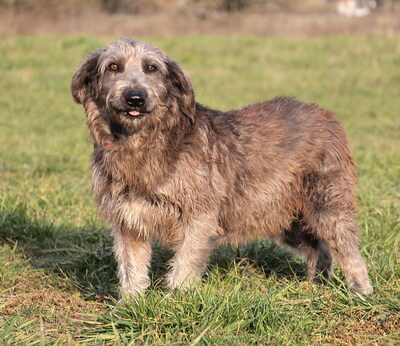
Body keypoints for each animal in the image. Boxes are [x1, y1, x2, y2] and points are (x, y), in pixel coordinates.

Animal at [71, 38, 372, 298]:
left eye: (151, 68)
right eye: (113, 66)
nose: (135, 97)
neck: (143, 143)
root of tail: (326, 115)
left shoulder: (198, 217)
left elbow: (185, 262)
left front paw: (176, 301)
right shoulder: (129, 221)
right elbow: (132, 267)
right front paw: (131, 305)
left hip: (326, 205)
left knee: (347, 248)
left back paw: (361, 291)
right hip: (283, 216)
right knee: (318, 248)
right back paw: (315, 286)